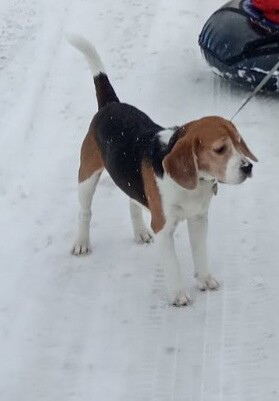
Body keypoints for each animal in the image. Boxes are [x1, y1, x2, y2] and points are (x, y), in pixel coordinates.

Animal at [68, 36, 258, 304]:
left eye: (240, 143)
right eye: (220, 149)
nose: (247, 166)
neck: (194, 184)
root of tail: (110, 104)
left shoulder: (199, 219)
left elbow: (200, 253)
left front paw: (204, 279)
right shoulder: (164, 227)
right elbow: (172, 264)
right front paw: (178, 294)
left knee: (132, 201)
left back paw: (140, 232)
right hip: (87, 175)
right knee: (85, 211)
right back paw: (82, 242)